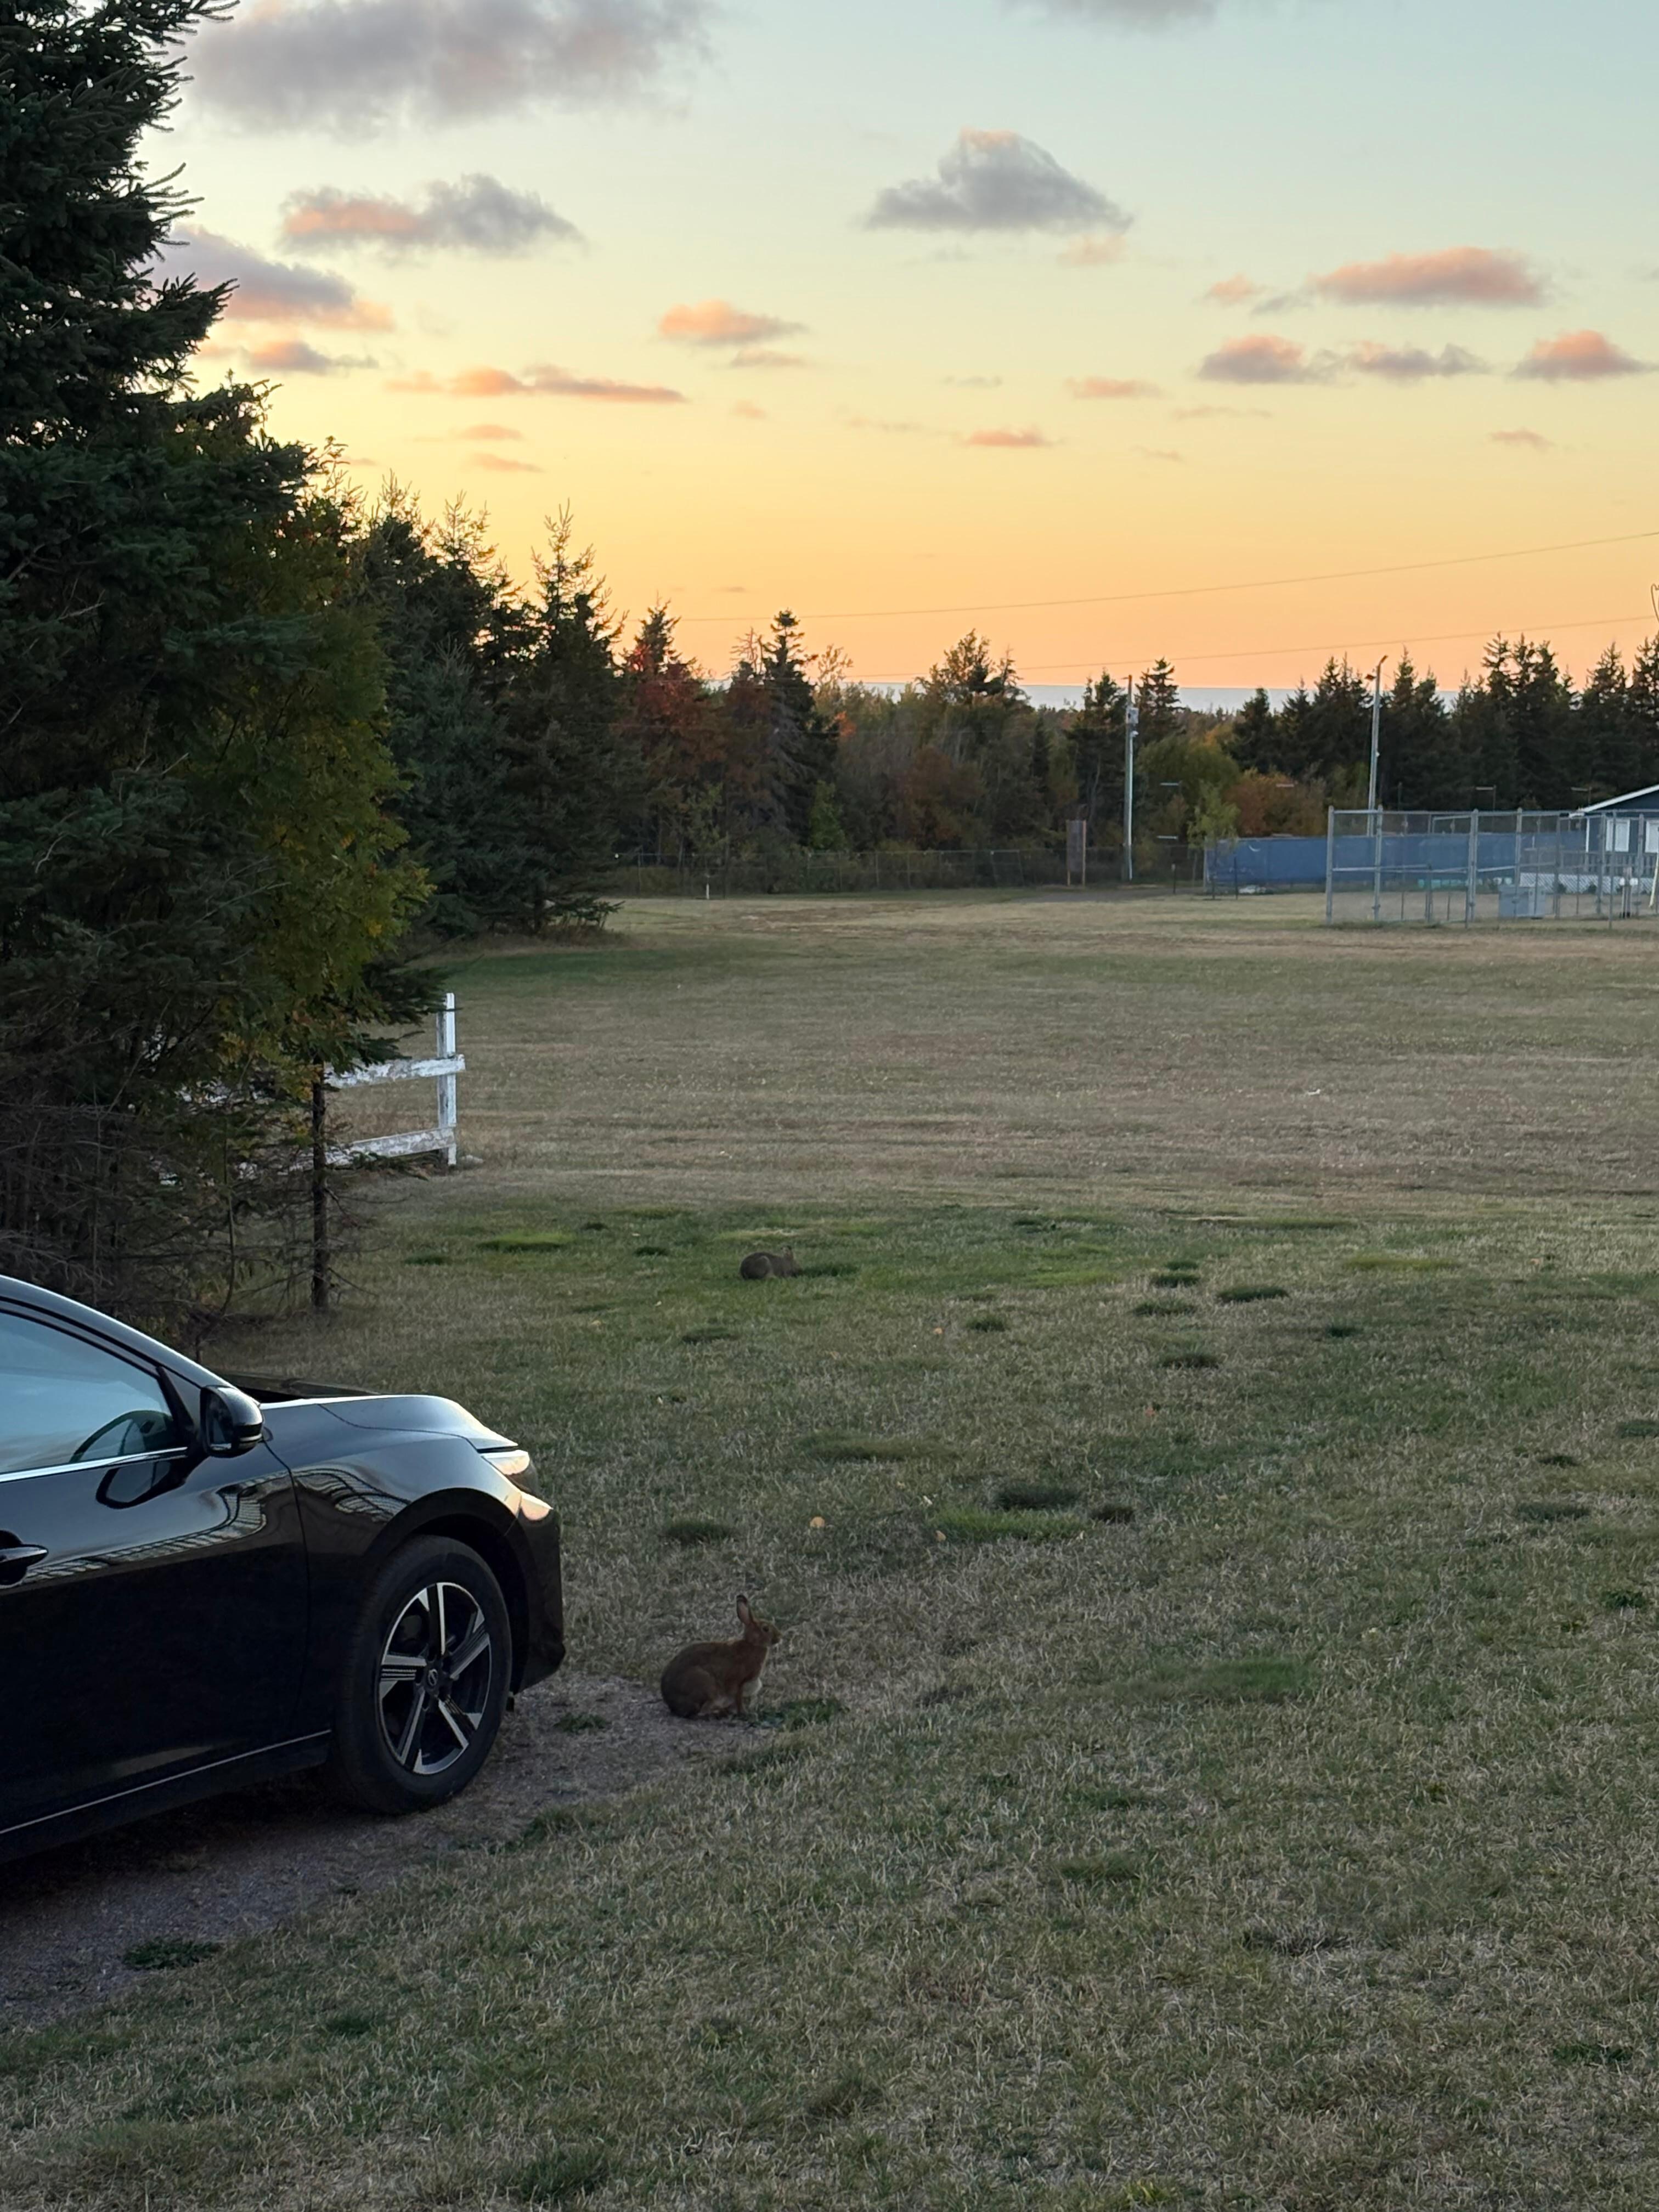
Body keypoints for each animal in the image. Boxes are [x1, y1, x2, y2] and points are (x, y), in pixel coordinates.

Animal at [660, 1593, 783, 1719]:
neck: (753, 1644)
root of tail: (674, 1706)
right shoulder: (739, 1683)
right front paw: (745, 1713)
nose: (780, 1637)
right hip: (706, 1685)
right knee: (702, 1711)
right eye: (766, 1629)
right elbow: (738, 1699)